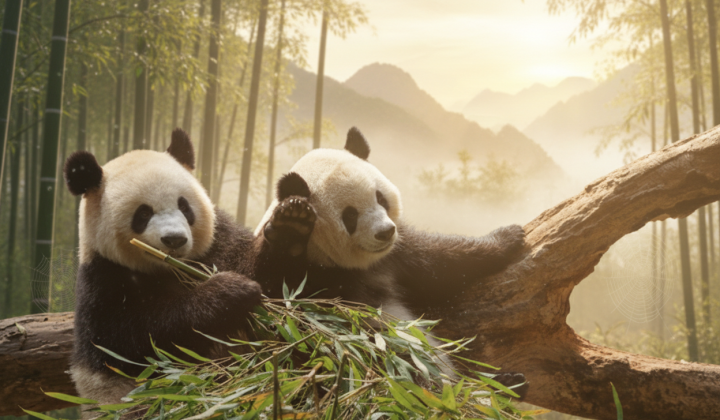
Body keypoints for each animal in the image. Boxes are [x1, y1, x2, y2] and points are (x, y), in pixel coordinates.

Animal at [64, 128, 308, 408]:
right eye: (143, 213)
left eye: (184, 206)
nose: (175, 240)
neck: (170, 268)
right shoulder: (102, 282)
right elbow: (136, 338)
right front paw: (229, 292)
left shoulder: (217, 244)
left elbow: (271, 283)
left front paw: (291, 226)